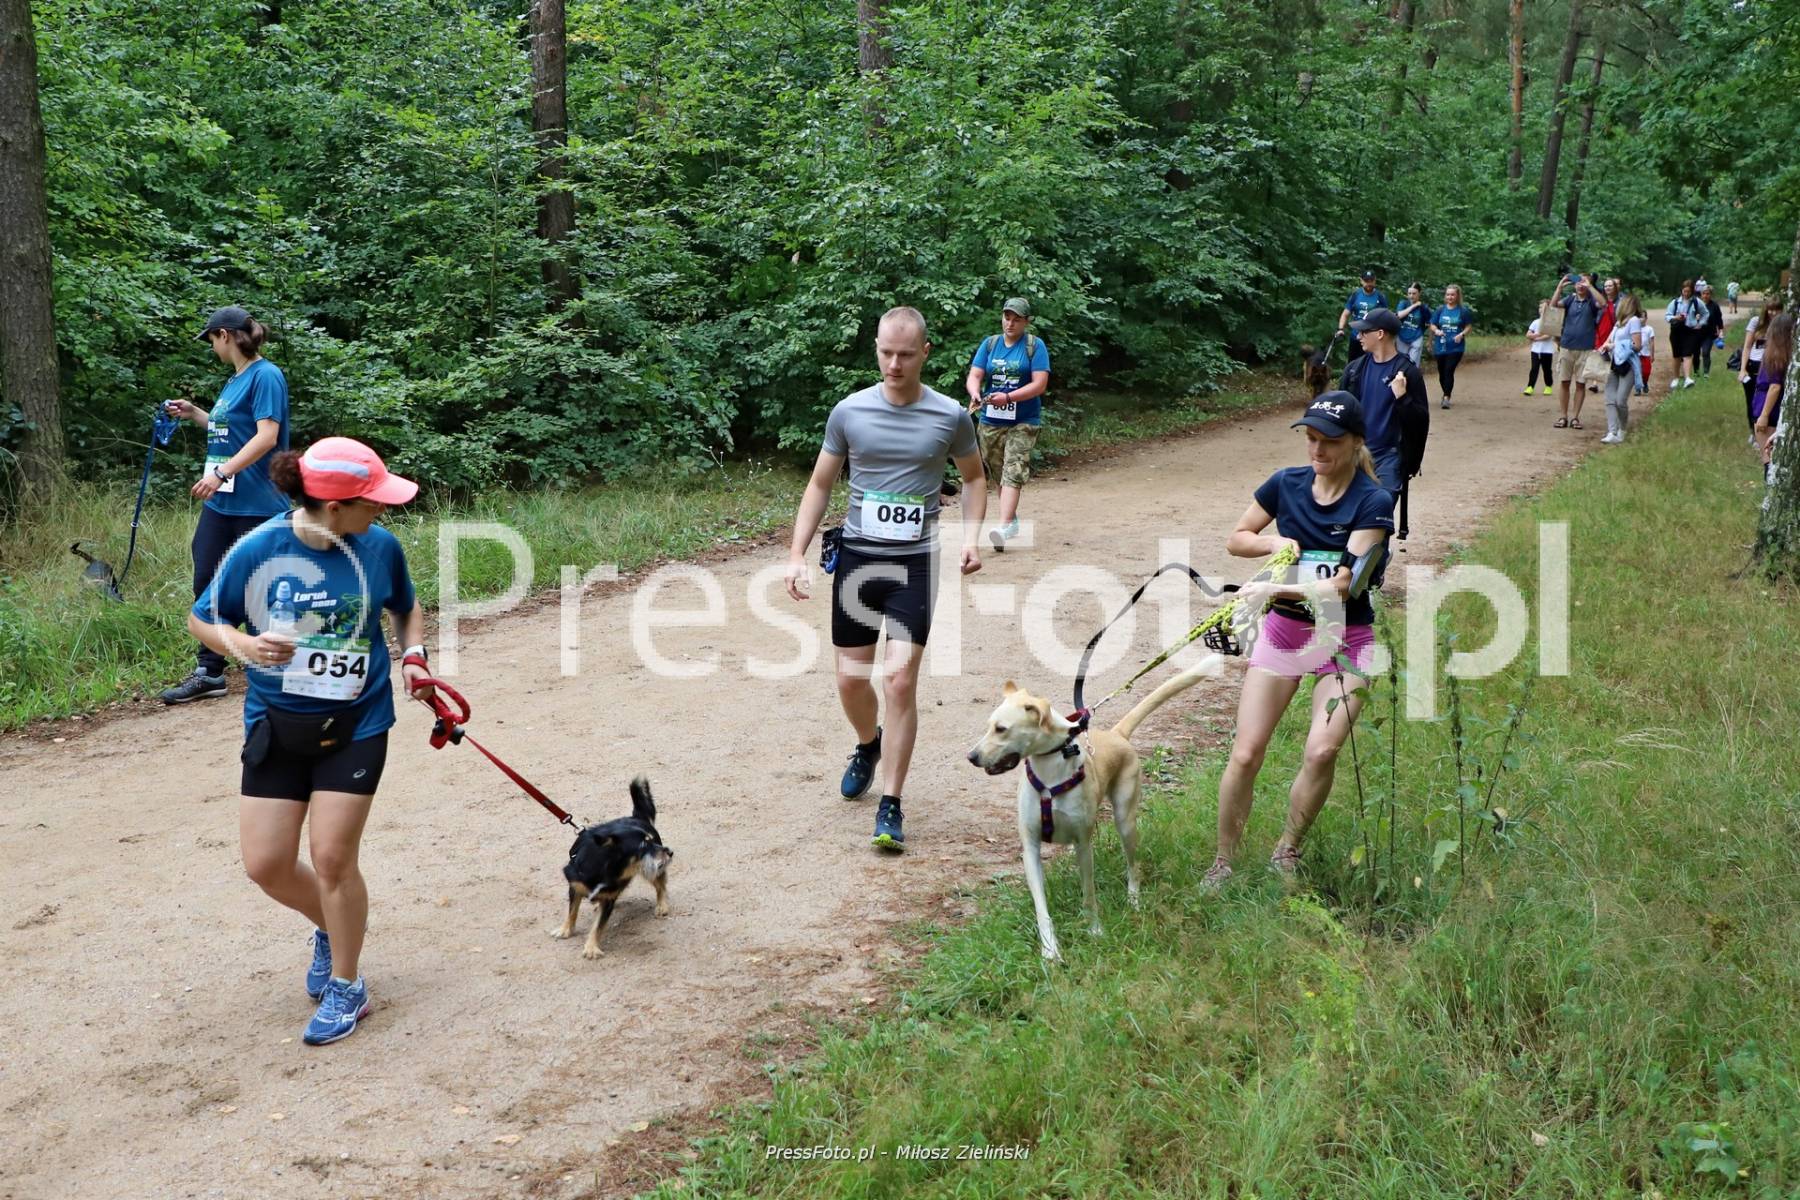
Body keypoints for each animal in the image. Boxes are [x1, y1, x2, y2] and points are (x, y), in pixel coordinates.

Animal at [553, 776, 673, 960]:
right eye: (643, 845)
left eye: (651, 841)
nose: (670, 852)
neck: (605, 868)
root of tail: (636, 816)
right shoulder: (575, 887)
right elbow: (572, 911)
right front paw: (565, 930)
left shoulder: (609, 899)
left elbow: (598, 926)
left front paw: (591, 947)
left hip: (650, 869)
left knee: (660, 884)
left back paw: (662, 905)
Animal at [967, 658, 1218, 962]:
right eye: (989, 726)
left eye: (1001, 729)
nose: (971, 757)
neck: (1049, 771)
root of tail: (1116, 734)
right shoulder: (1031, 848)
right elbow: (1041, 906)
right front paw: (1050, 950)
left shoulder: (1083, 843)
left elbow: (1089, 894)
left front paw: (1095, 930)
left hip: (1125, 821)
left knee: (1133, 865)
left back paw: (1133, 900)